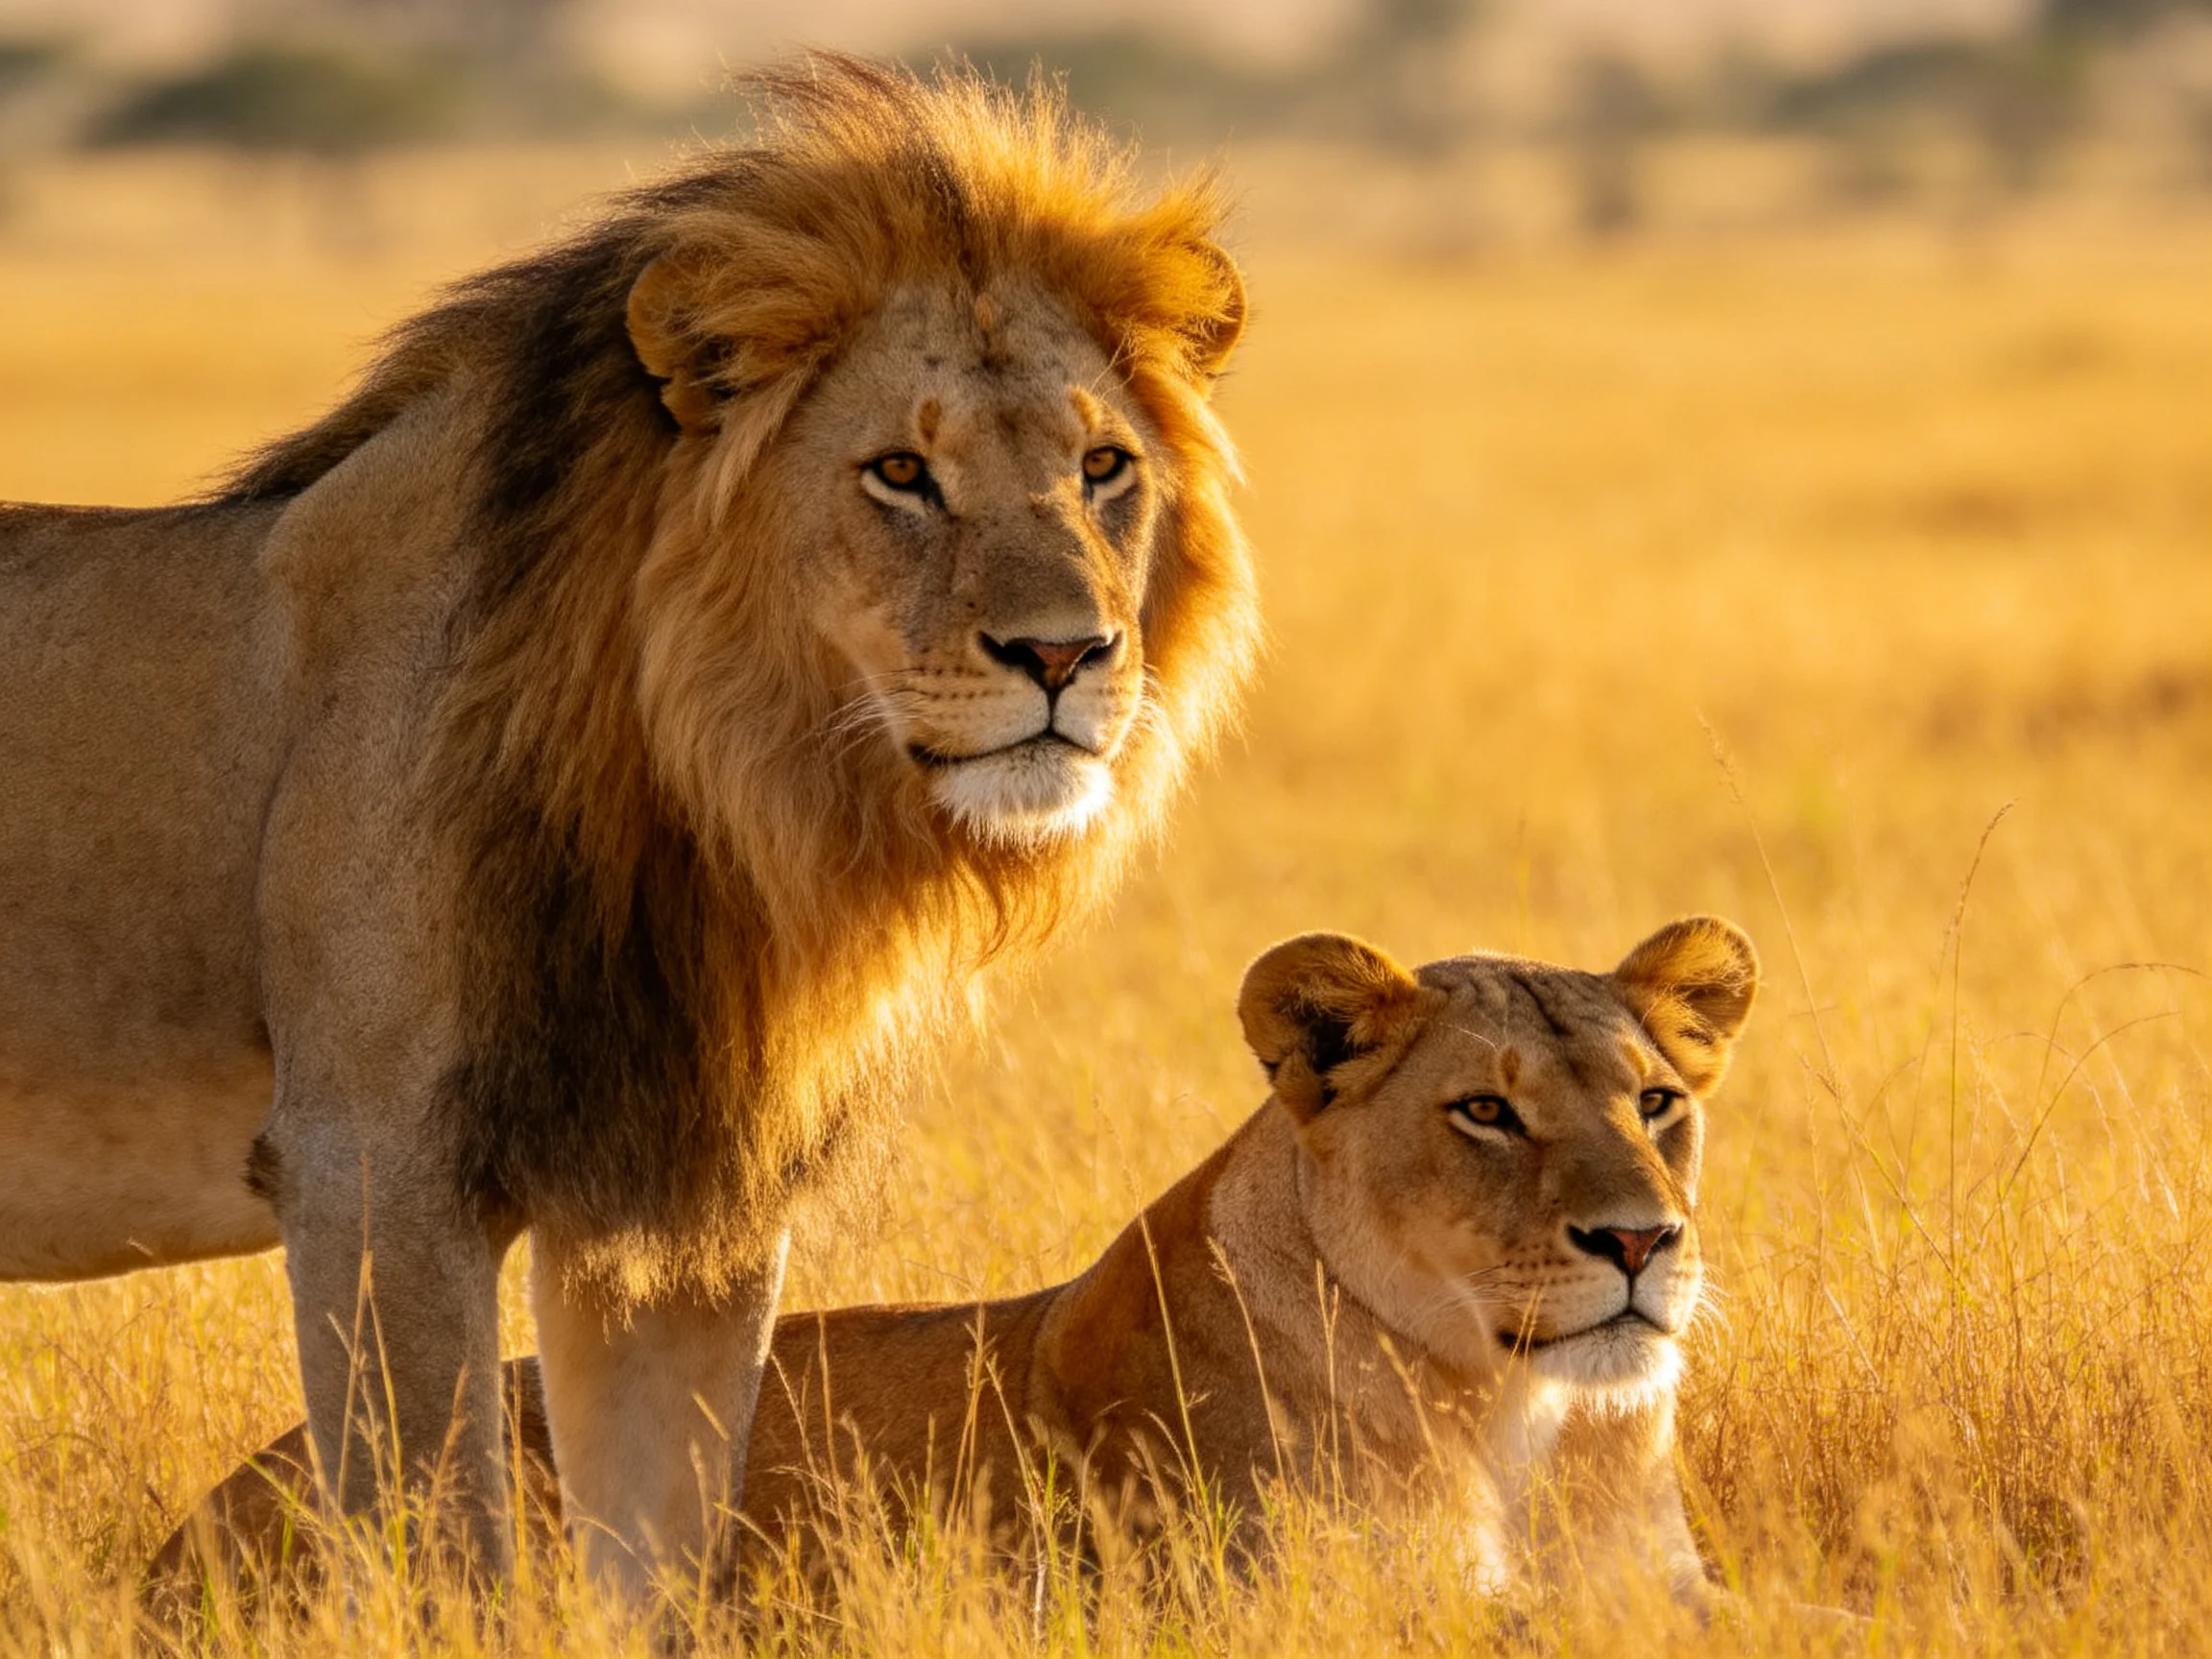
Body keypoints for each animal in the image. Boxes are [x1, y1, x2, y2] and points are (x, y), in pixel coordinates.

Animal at [0, 57, 1255, 1594]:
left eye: (1101, 468)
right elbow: (449, 1556)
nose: (1066, 654)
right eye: (901, 474)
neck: (716, 796)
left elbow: (656, 1562)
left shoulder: (675, 1208)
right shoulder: (370, 1167)